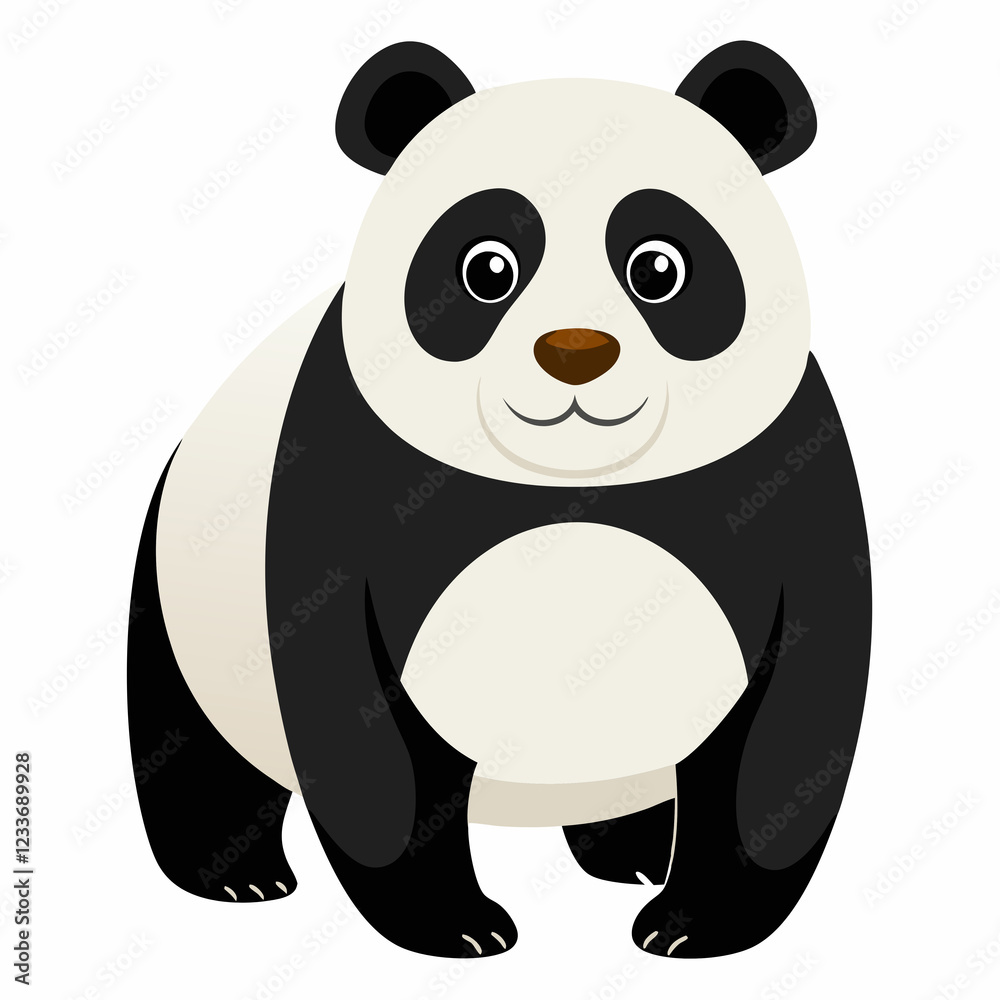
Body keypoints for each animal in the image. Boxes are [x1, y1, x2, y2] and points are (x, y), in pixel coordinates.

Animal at [128, 40, 871, 960]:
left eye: (659, 267)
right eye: (486, 268)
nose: (576, 351)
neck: (574, 480)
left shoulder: (784, 473)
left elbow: (787, 719)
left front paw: (695, 928)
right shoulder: (347, 468)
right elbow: (362, 723)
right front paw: (453, 925)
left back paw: (629, 856)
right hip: (174, 590)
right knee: (192, 745)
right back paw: (235, 875)